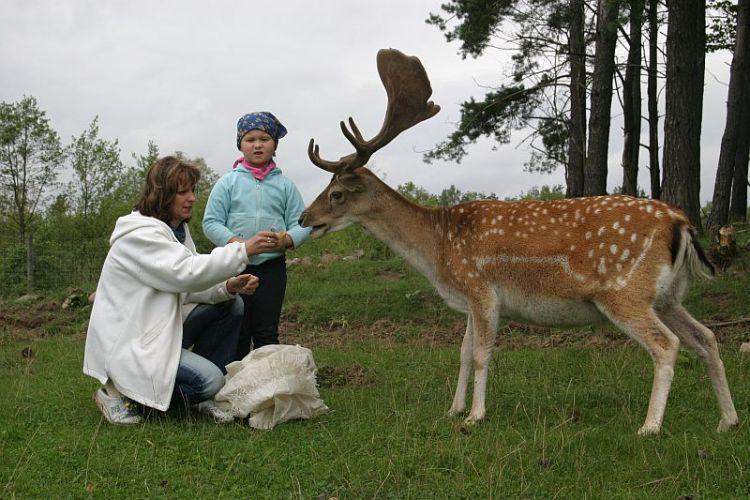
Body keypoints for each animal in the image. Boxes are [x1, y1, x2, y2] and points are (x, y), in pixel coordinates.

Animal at [300, 48, 740, 436]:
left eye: (337, 194)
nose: (304, 219)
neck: (438, 252)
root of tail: (681, 222)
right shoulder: (469, 301)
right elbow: (462, 353)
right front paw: (453, 409)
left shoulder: (481, 289)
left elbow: (481, 354)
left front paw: (474, 417)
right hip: (667, 295)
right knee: (707, 338)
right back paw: (728, 421)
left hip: (625, 290)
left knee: (667, 345)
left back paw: (649, 426)